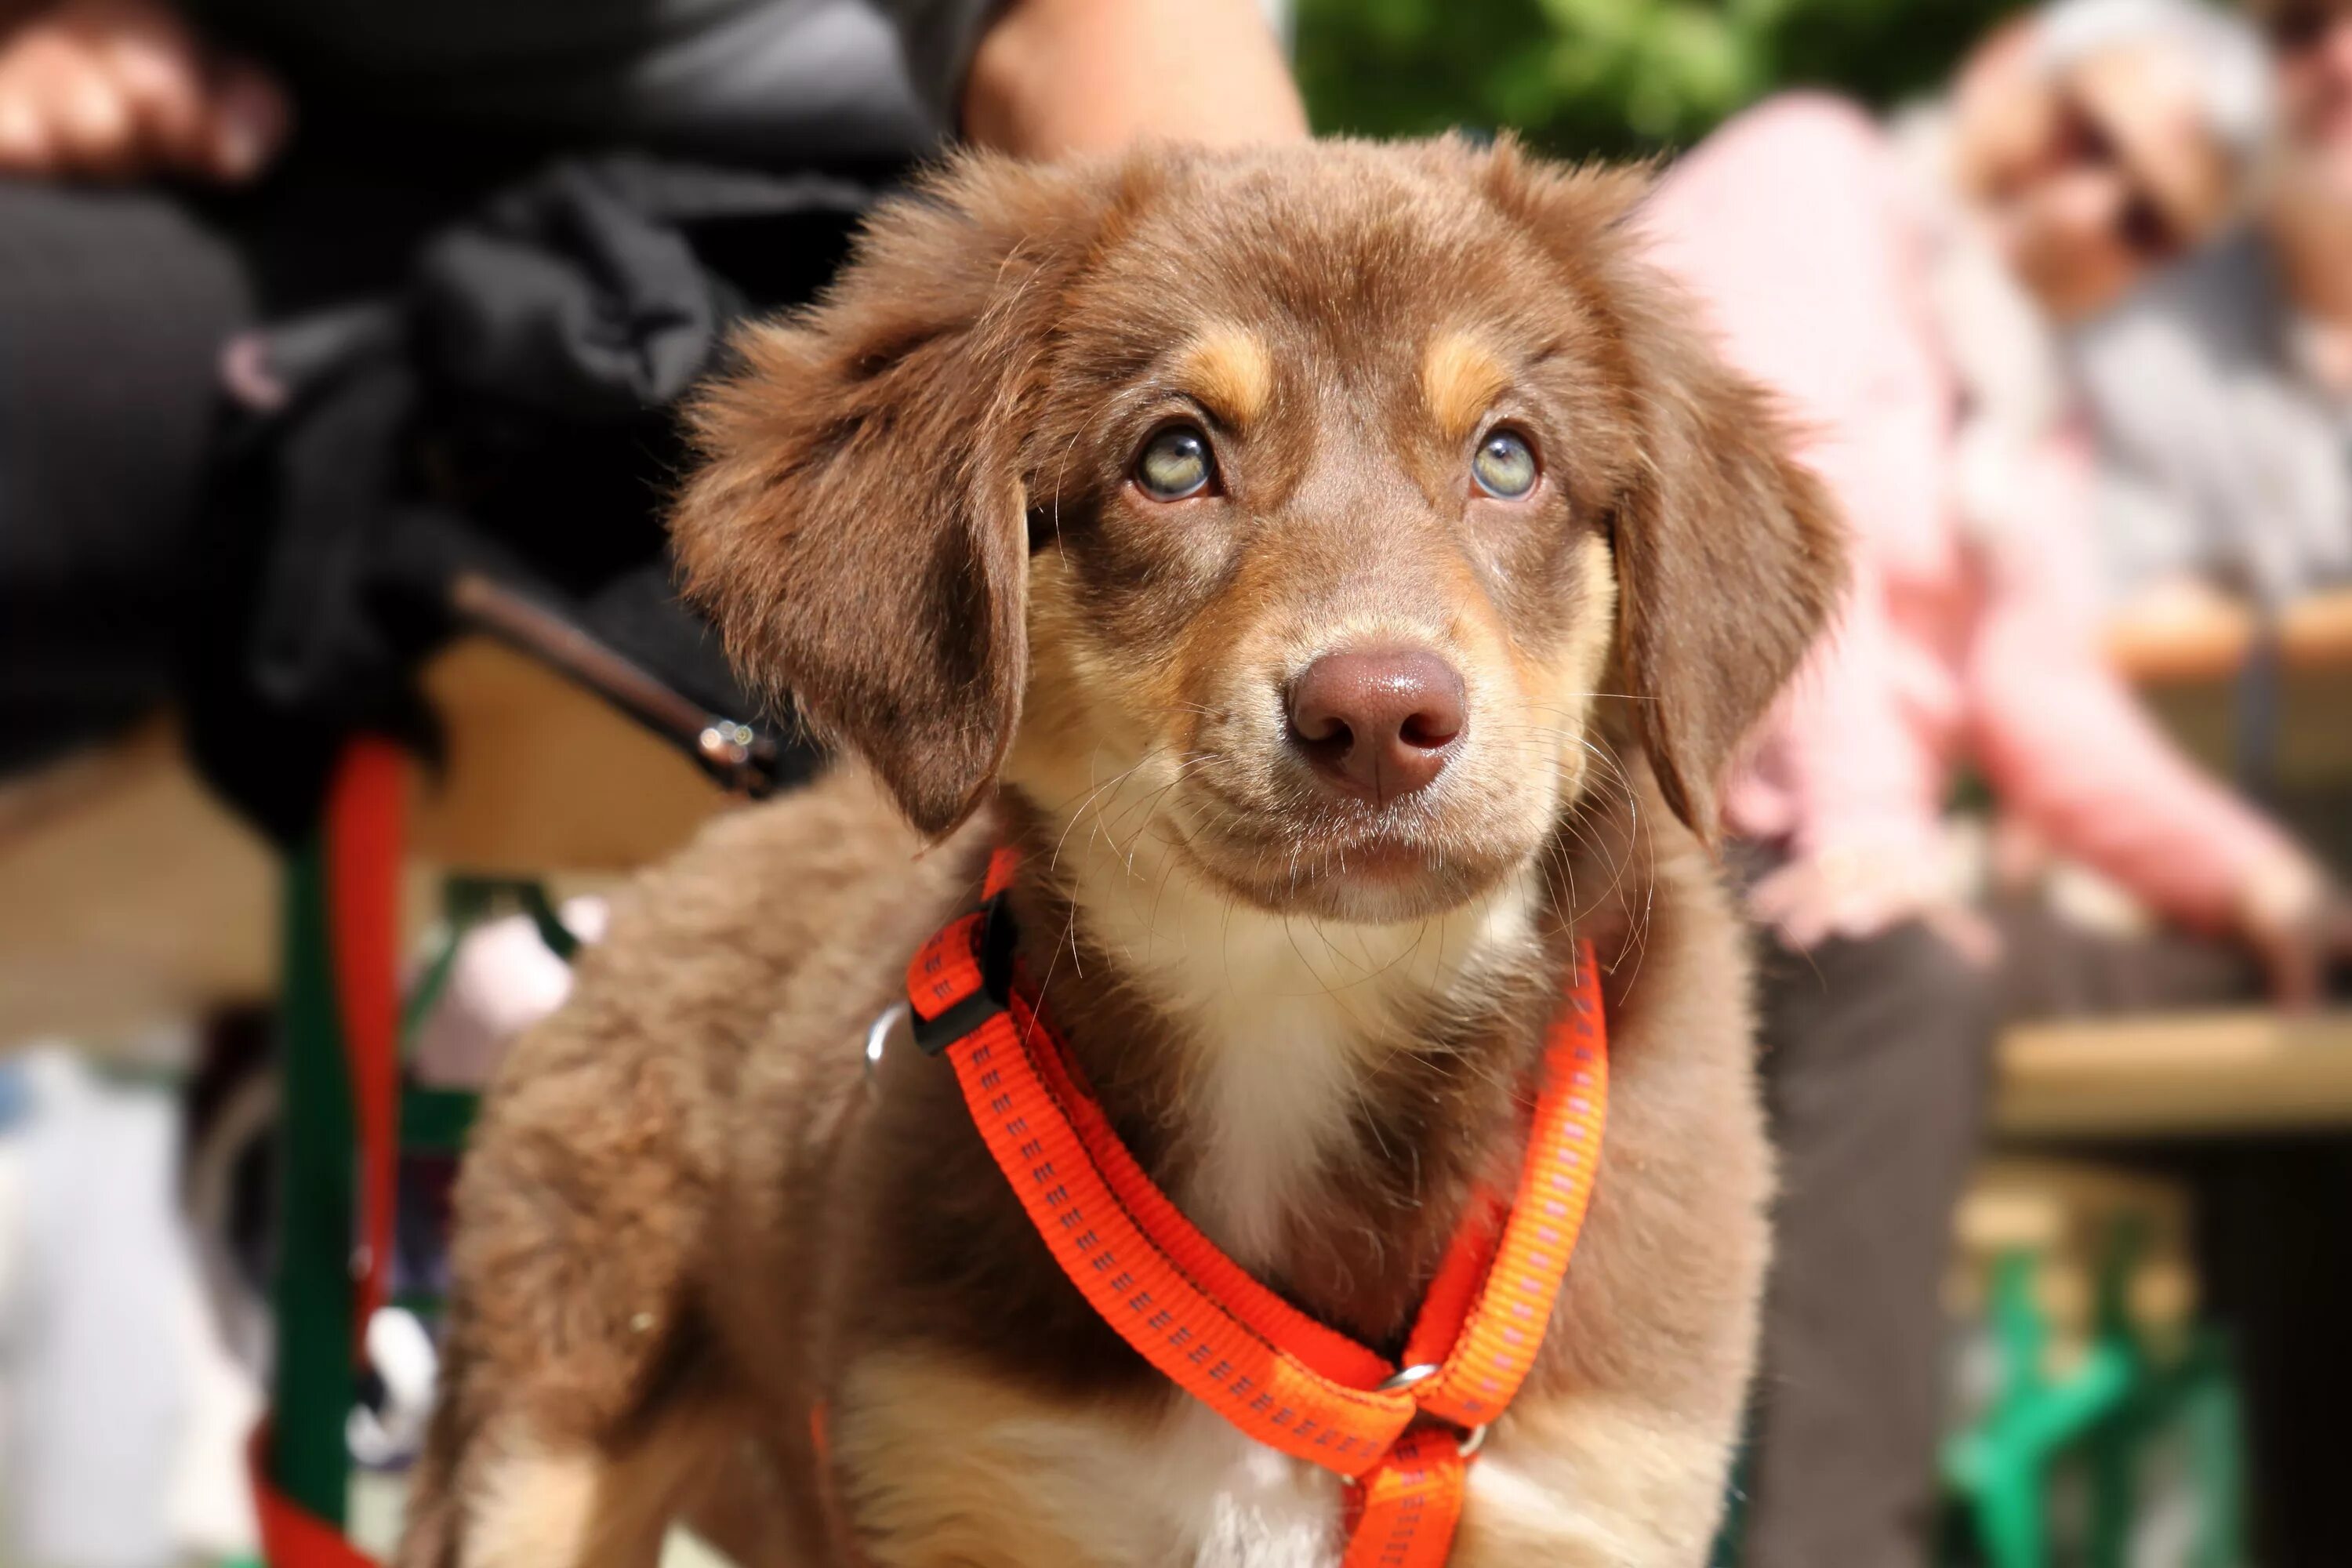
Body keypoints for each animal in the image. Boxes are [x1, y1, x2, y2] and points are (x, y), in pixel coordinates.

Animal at [400, 138, 1835, 1568]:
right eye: (1175, 458)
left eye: (1509, 459)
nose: (1379, 719)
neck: (1292, 1000)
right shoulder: (948, 1463)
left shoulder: (1593, 1492)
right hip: (545, 1425)